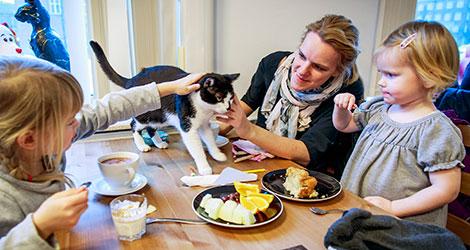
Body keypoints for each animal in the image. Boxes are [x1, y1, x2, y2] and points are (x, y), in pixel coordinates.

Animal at [89, 40, 239, 175]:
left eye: (231, 98)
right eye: (219, 97)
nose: (227, 108)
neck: (203, 109)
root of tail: (133, 79)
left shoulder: (204, 124)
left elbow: (209, 139)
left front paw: (217, 154)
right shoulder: (187, 126)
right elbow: (197, 149)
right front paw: (204, 167)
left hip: (159, 116)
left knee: (150, 128)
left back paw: (159, 143)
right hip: (145, 115)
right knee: (134, 125)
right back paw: (142, 145)